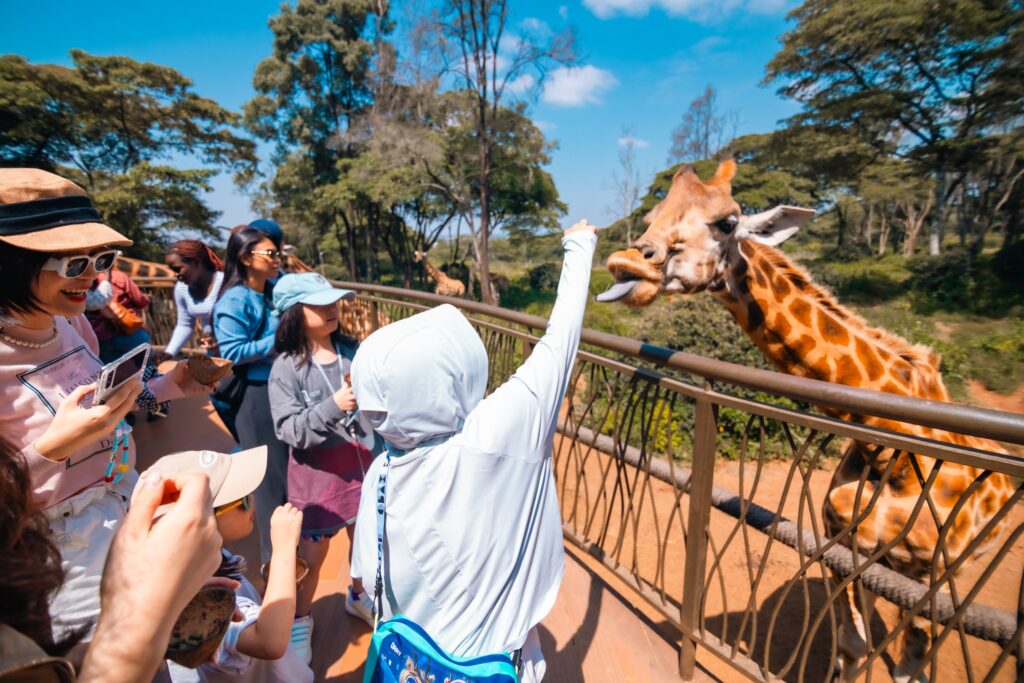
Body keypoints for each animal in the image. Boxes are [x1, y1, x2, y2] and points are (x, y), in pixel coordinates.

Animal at [597, 159, 1015, 682]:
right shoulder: (844, 550)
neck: (893, 454)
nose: (629, 266)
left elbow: (907, 666)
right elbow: (852, 646)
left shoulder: (935, 578)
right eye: (650, 216)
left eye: (728, 222)